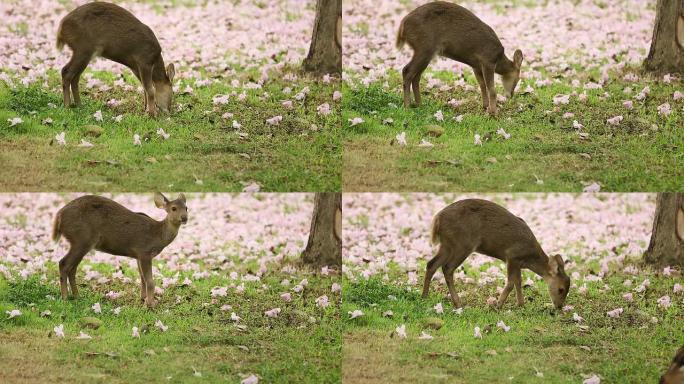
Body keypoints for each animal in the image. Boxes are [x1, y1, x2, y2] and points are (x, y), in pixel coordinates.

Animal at [51, 194, 188, 308]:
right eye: (173, 208)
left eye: (186, 208)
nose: (184, 218)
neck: (158, 235)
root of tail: (59, 216)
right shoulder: (145, 251)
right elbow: (149, 281)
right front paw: (151, 304)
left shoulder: (138, 255)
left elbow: (142, 278)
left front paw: (143, 299)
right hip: (81, 239)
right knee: (63, 263)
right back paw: (65, 298)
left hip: (81, 242)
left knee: (72, 268)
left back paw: (77, 296)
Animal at [396, 1, 524, 115]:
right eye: (517, 79)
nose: (510, 95)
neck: (498, 58)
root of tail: (402, 26)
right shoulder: (488, 60)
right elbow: (491, 89)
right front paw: (494, 113)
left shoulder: (476, 66)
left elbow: (482, 85)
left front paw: (485, 106)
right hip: (424, 47)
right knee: (407, 71)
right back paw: (407, 106)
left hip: (426, 52)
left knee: (416, 76)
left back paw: (419, 104)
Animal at [424, 198, 568, 308]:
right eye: (561, 289)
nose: (559, 307)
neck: (529, 258)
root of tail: (437, 219)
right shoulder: (512, 256)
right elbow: (510, 283)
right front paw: (498, 305)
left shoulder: (517, 262)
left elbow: (518, 281)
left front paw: (521, 304)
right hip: (463, 244)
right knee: (447, 268)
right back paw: (458, 303)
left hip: (447, 245)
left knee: (431, 264)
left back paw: (424, 296)